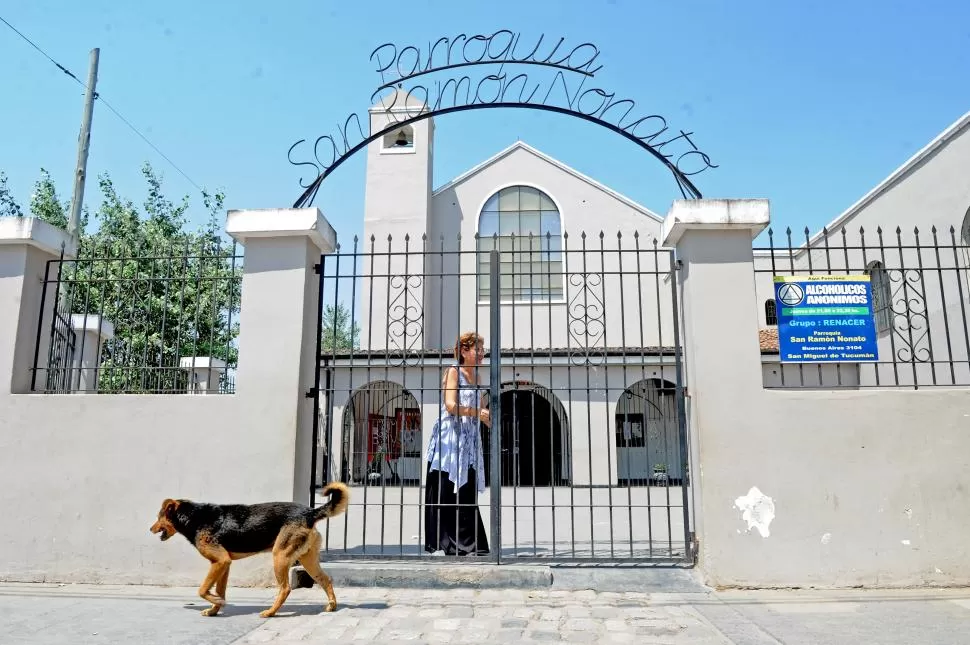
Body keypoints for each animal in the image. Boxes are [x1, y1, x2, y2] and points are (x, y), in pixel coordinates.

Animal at [149, 484, 350, 612]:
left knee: (285, 588)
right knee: (325, 580)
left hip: (280, 557)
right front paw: (215, 608)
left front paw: (216, 602)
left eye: (159, 517)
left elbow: (202, 589)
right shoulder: (224, 564)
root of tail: (310, 512)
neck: (193, 517)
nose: (150, 529)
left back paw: (270, 612)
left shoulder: (220, 561)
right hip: (307, 560)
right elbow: (219, 589)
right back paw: (332, 606)